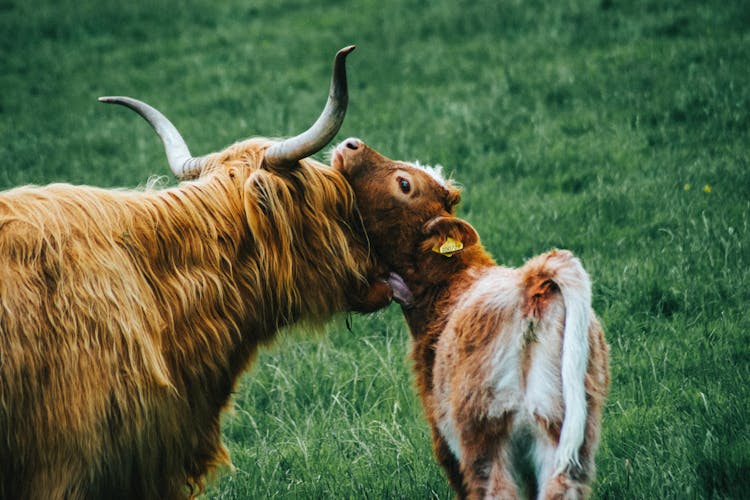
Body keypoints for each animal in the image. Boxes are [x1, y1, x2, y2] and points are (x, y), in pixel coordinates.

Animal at [334, 138, 612, 500]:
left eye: (405, 184)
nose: (351, 144)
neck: (452, 282)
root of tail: (533, 281)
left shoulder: (445, 442)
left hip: (483, 434)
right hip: (565, 431)